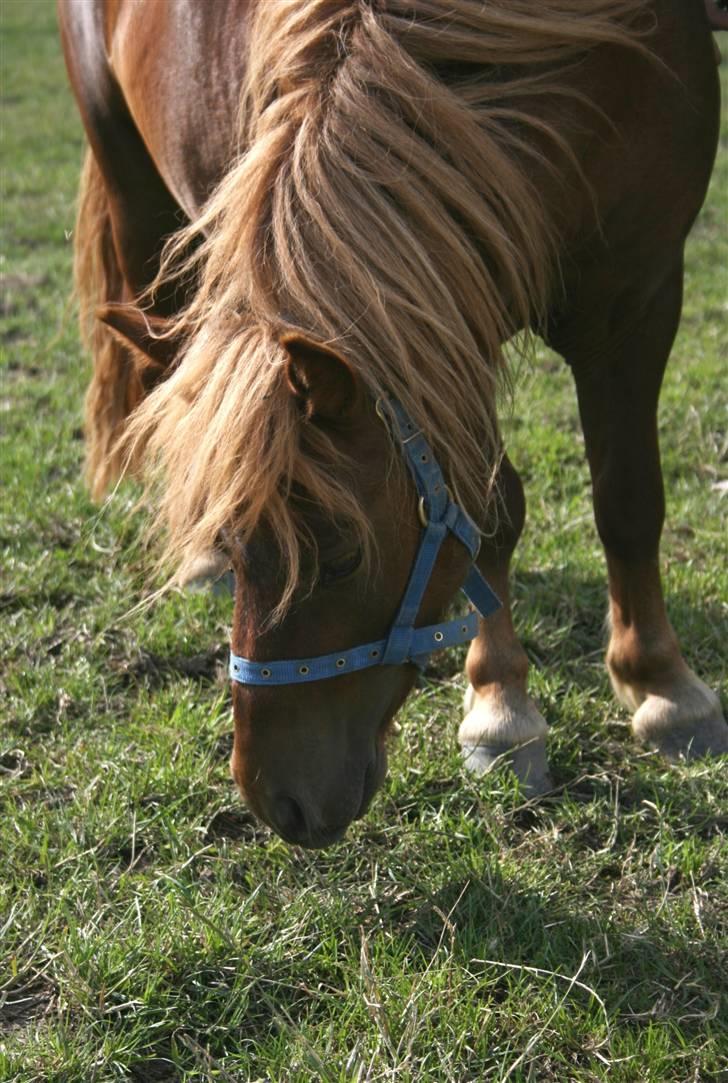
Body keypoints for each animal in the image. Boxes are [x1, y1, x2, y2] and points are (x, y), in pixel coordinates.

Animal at [58, 0, 728, 844]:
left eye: (344, 556)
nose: (278, 802)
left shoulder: (636, 294)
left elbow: (629, 501)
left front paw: (665, 688)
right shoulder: (444, 309)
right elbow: (492, 513)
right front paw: (502, 708)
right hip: (133, 183)